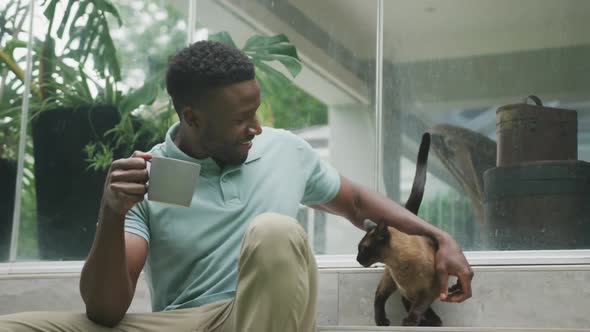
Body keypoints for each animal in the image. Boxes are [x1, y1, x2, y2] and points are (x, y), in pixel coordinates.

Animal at [358, 133, 446, 326]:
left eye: (364, 249)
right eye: (358, 249)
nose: (357, 259)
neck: (399, 266)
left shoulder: (428, 291)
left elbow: (419, 306)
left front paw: (413, 322)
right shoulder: (401, 287)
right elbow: (399, 302)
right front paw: (408, 321)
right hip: (390, 281)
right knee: (387, 297)